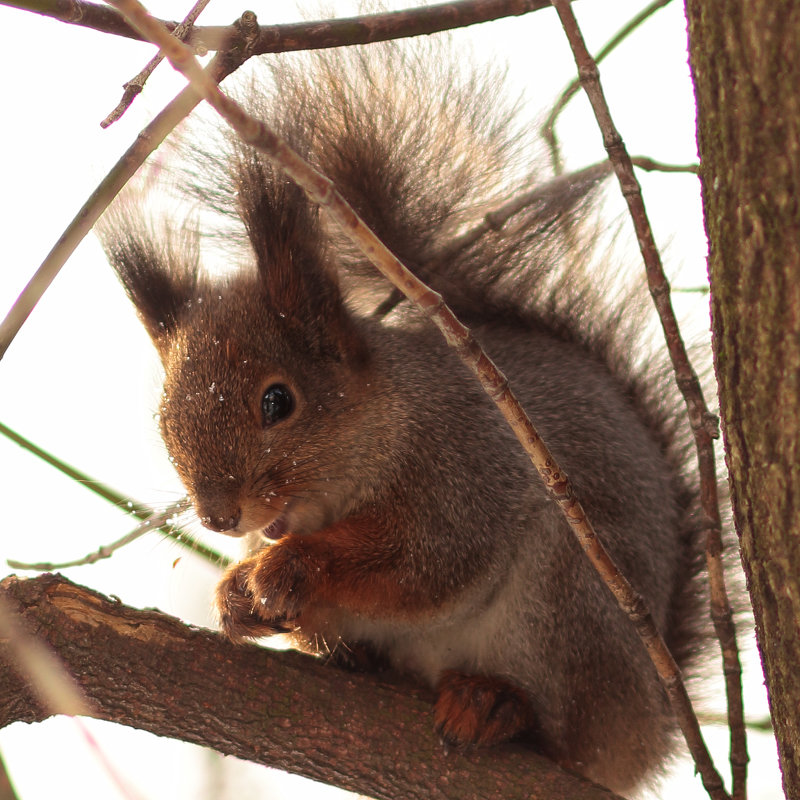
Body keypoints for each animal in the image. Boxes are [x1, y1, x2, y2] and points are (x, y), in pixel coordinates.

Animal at [101, 39, 708, 792]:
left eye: (278, 401)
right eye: (162, 419)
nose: (218, 517)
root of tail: (648, 733)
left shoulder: (462, 474)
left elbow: (421, 565)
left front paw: (290, 567)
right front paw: (237, 595)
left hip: (572, 601)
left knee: (561, 730)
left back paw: (494, 703)